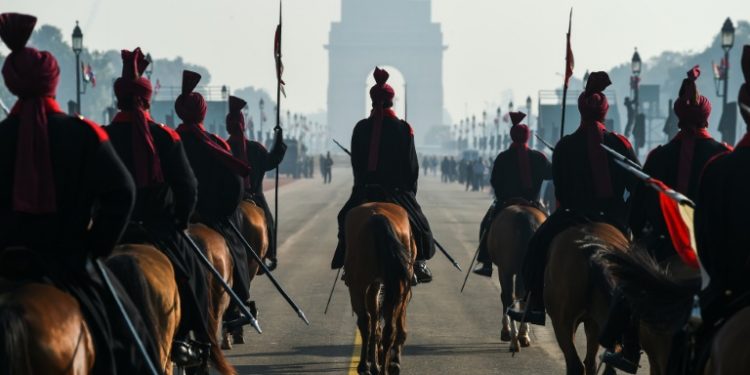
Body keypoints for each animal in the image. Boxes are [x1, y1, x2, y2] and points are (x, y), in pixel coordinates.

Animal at [346, 204, 418, 374]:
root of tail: (378, 215)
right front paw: (384, 361)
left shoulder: (371, 286)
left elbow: (374, 321)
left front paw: (373, 362)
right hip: (396, 287)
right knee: (388, 328)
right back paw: (384, 366)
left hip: (359, 285)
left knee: (367, 322)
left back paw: (366, 366)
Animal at [488, 203, 548, 352]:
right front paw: (522, 333)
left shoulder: (504, 270)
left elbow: (505, 297)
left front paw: (506, 331)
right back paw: (520, 337)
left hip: (506, 270)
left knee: (509, 297)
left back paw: (514, 340)